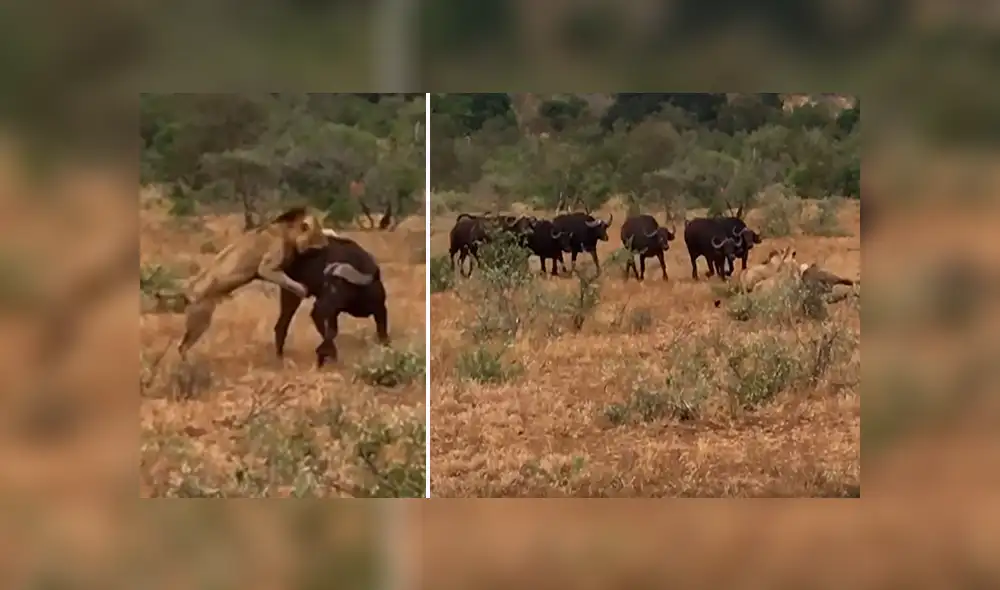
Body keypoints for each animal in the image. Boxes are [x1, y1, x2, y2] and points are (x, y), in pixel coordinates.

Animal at [175, 206, 338, 357]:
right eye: (317, 234)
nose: (326, 243)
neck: (288, 233)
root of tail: (187, 292)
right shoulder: (266, 267)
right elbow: (287, 281)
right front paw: (302, 289)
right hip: (200, 320)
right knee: (182, 347)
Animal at [274, 235, 389, 367]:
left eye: (336, 287)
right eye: (325, 284)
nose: (318, 304)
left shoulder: (380, 309)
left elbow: (383, 333)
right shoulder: (325, 312)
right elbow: (330, 333)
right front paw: (326, 354)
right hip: (292, 293)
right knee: (282, 323)